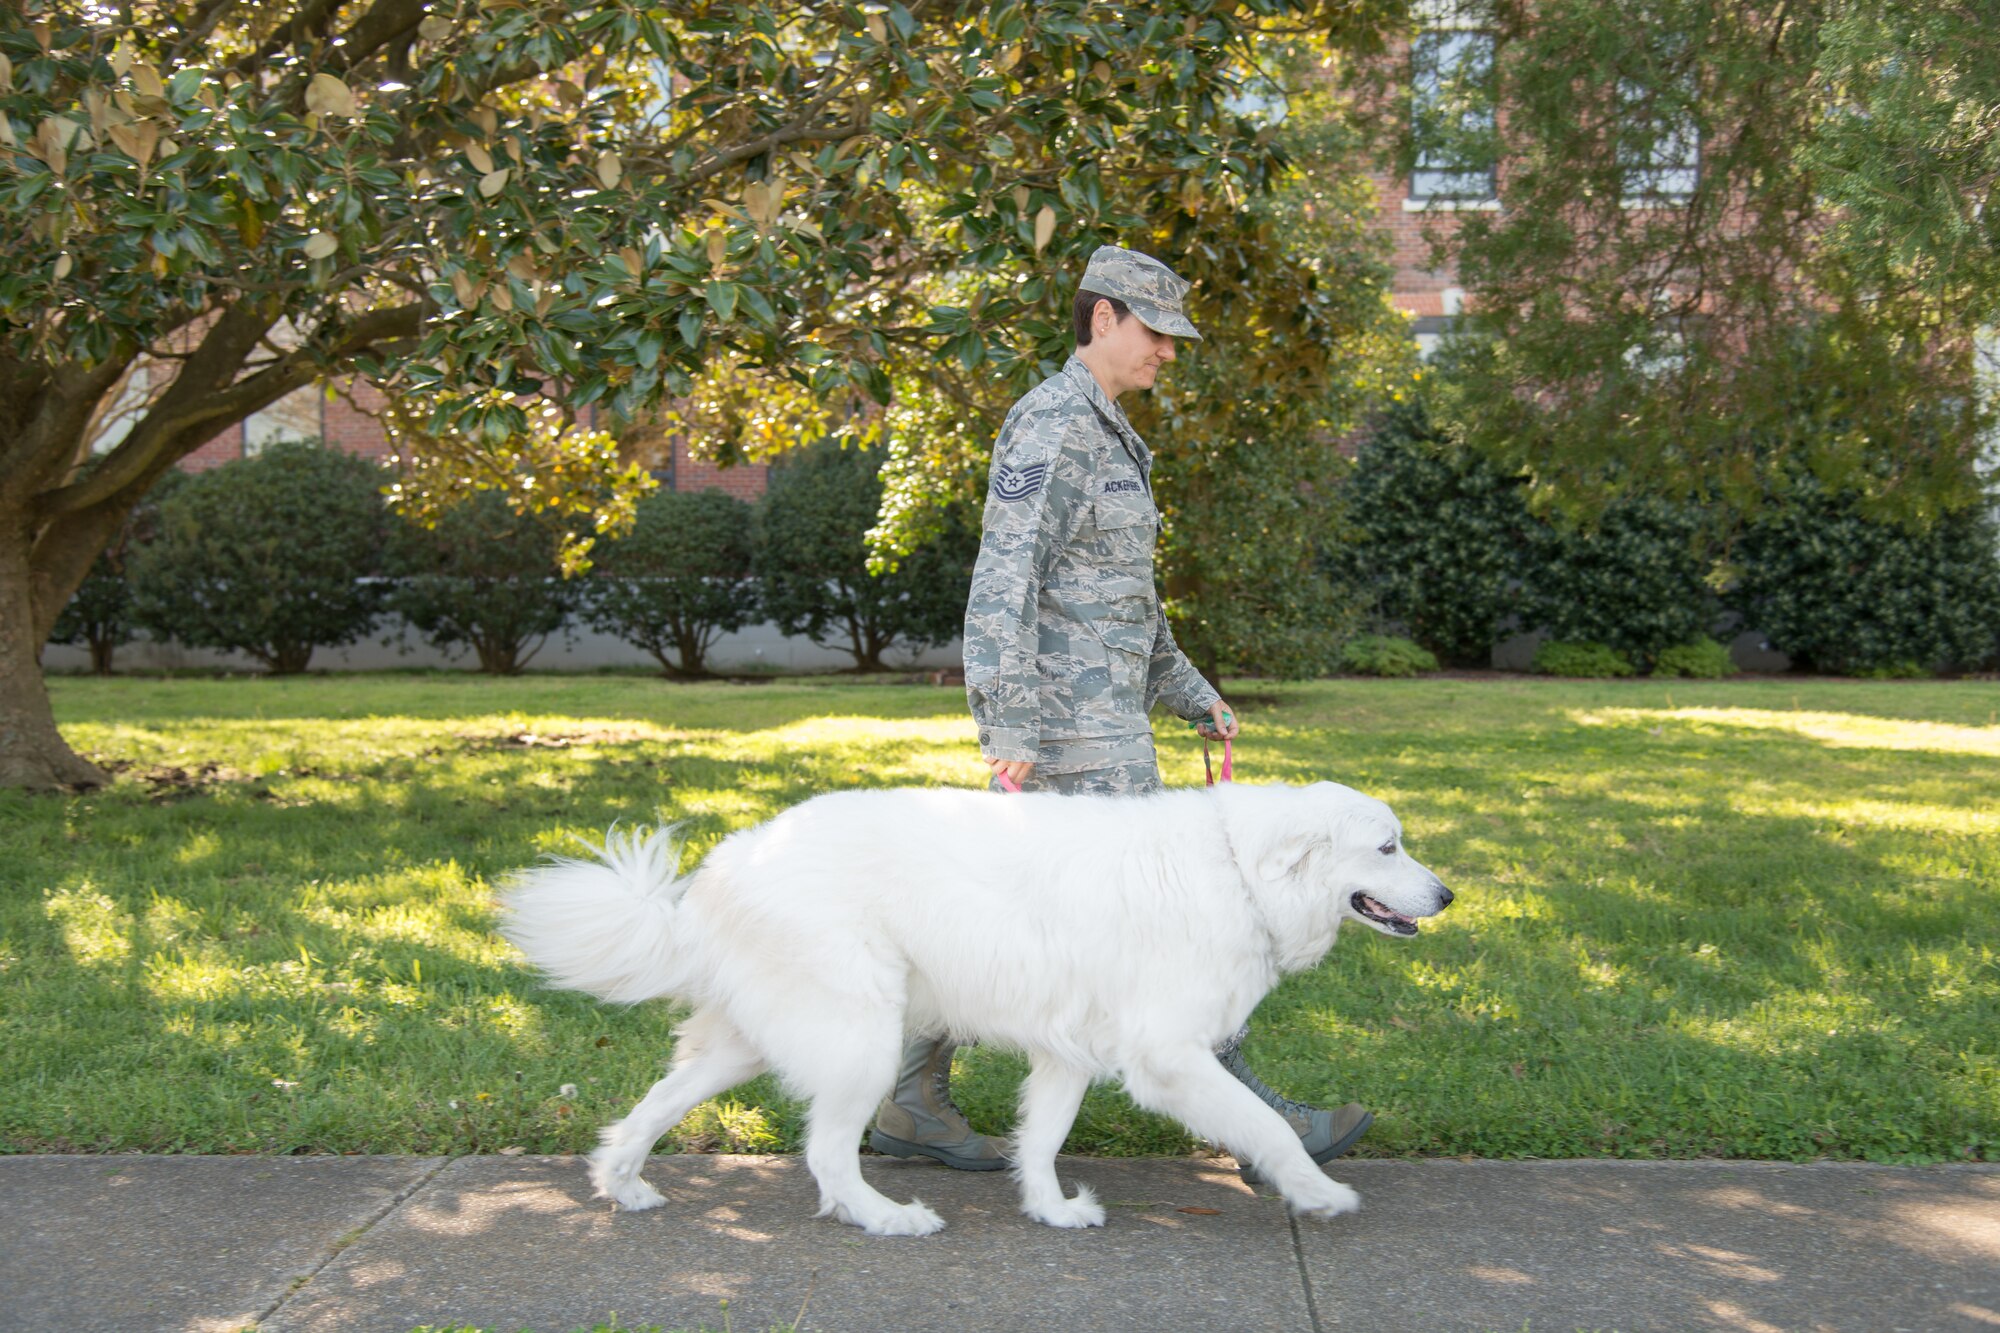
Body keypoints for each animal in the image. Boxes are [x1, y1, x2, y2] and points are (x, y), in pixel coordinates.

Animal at [500, 780, 1456, 1232]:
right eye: (1388, 847)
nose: (1447, 895)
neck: (1240, 868)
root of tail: (724, 870)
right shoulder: (1169, 1056)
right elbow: (1266, 1127)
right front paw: (1318, 1192)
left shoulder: (1069, 1051)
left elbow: (1042, 1139)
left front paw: (1050, 1209)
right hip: (861, 1034)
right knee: (828, 1154)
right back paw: (886, 1218)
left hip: (749, 1040)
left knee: (651, 1108)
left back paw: (623, 1183)